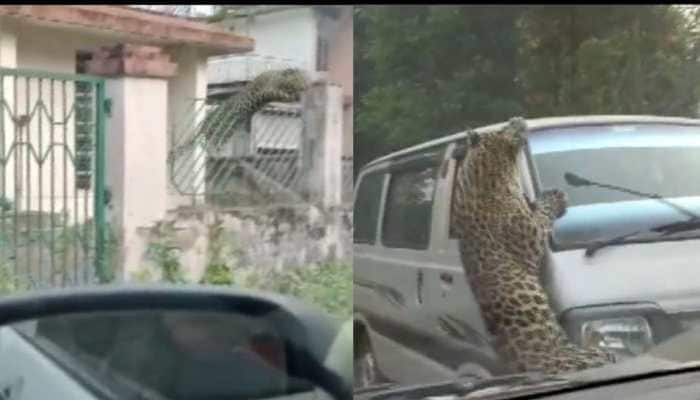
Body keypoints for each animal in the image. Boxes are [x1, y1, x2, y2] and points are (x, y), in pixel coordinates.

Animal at [452, 115, 616, 376]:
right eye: (504, 127)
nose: (516, 118)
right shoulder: (530, 234)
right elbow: (543, 213)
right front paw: (555, 196)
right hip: (581, 358)